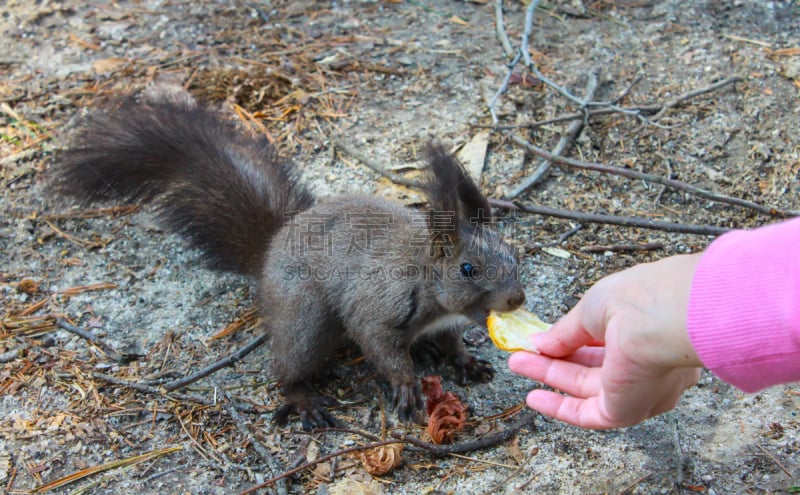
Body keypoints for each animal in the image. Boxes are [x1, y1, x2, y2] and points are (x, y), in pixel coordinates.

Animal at [50, 84, 524, 430]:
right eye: (467, 269)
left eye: (513, 254)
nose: (516, 298)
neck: (426, 281)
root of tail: (270, 250)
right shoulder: (379, 305)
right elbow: (379, 345)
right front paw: (406, 384)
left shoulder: (444, 324)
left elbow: (451, 342)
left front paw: (466, 362)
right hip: (305, 317)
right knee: (288, 365)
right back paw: (303, 399)